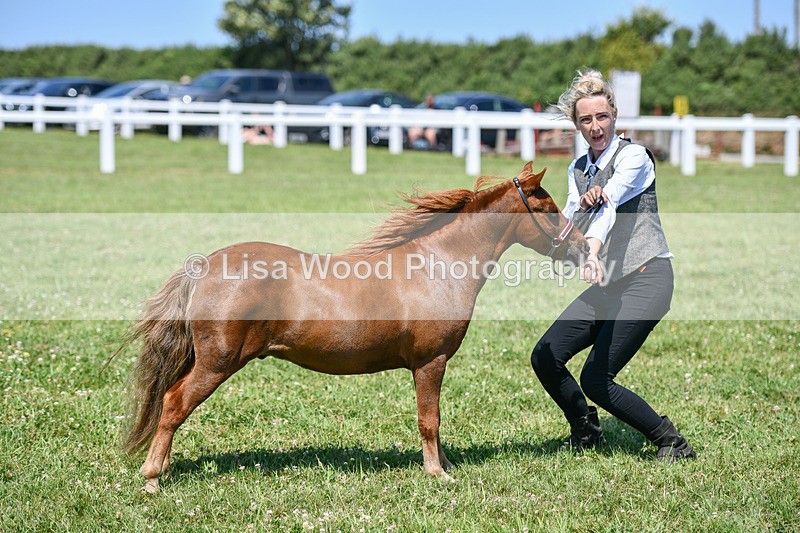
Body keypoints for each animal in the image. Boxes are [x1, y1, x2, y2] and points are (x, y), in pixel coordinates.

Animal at [118, 162, 588, 492]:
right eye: (549, 209)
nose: (583, 249)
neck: (438, 265)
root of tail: (207, 264)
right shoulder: (430, 362)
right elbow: (429, 420)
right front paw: (437, 474)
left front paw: (445, 465)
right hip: (217, 363)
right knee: (174, 404)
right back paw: (152, 477)